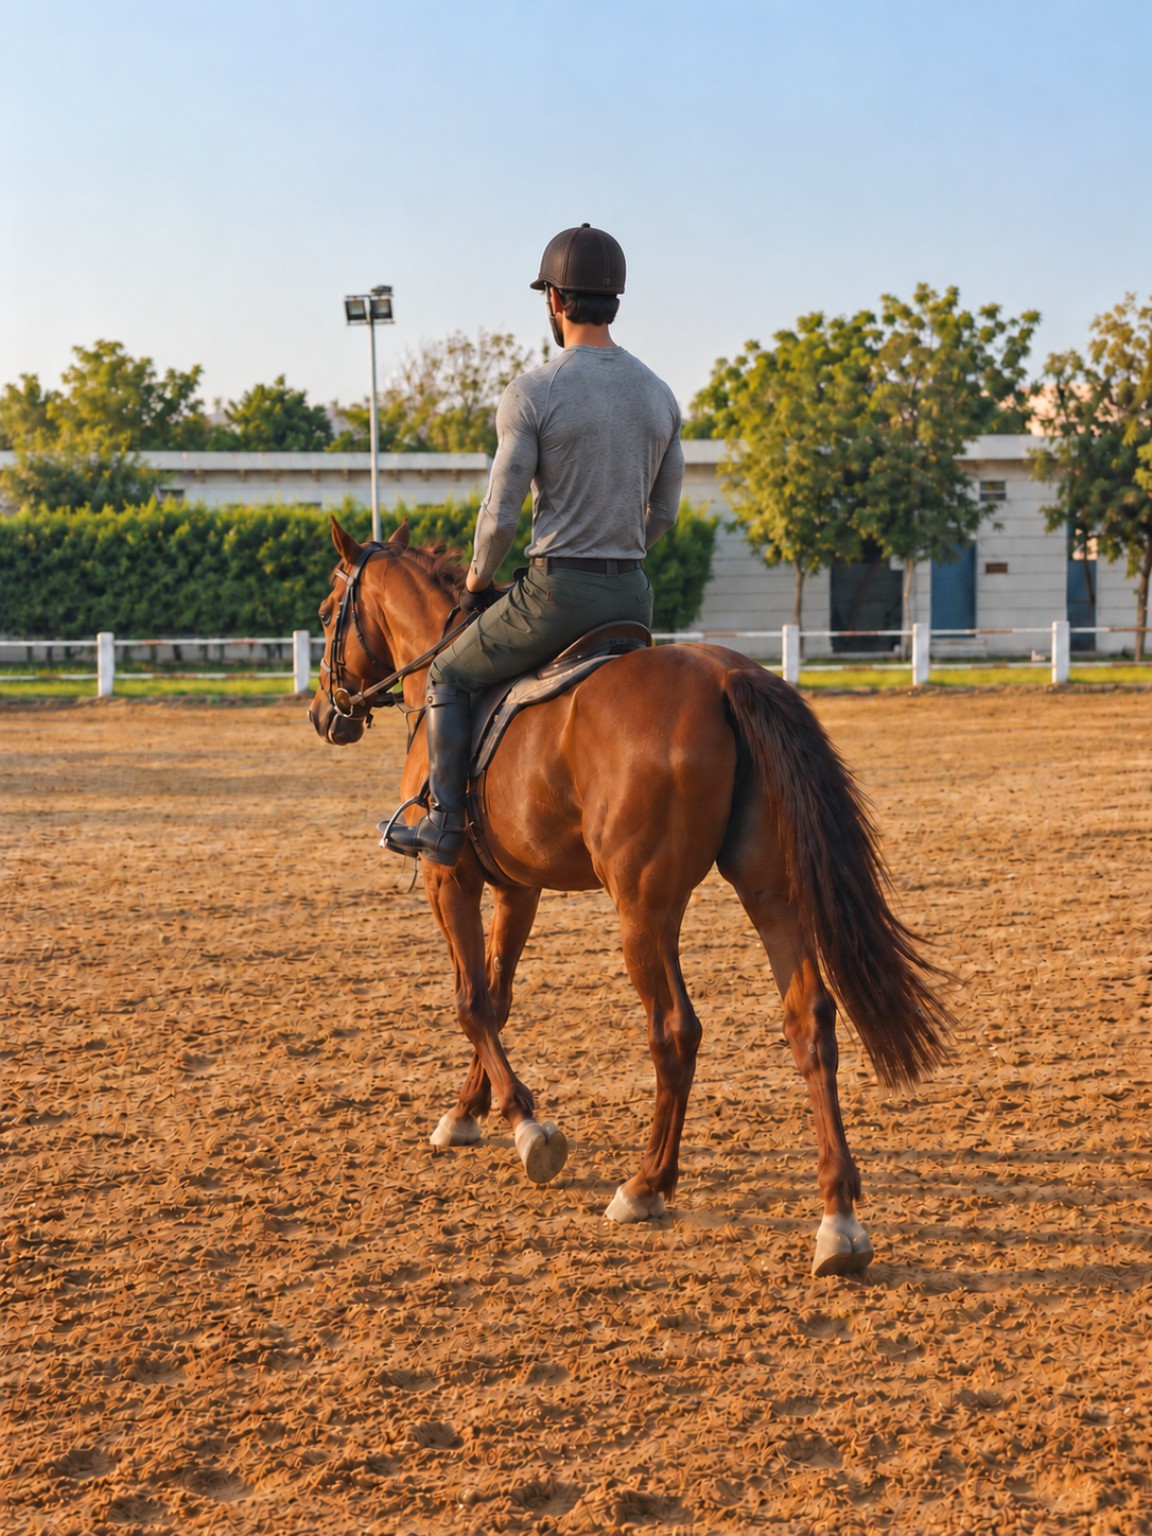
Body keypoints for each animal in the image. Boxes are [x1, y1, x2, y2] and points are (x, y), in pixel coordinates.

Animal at [307, 517, 954, 1276]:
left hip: (643, 911)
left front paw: (528, 1126)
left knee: (675, 1031)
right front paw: (470, 1111)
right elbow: (497, 996)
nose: (324, 713)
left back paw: (646, 1185)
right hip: (770, 893)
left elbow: (470, 1003)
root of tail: (724, 677)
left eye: (328, 613)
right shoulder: (519, 890)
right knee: (811, 1022)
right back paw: (839, 1221)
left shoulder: (450, 880)